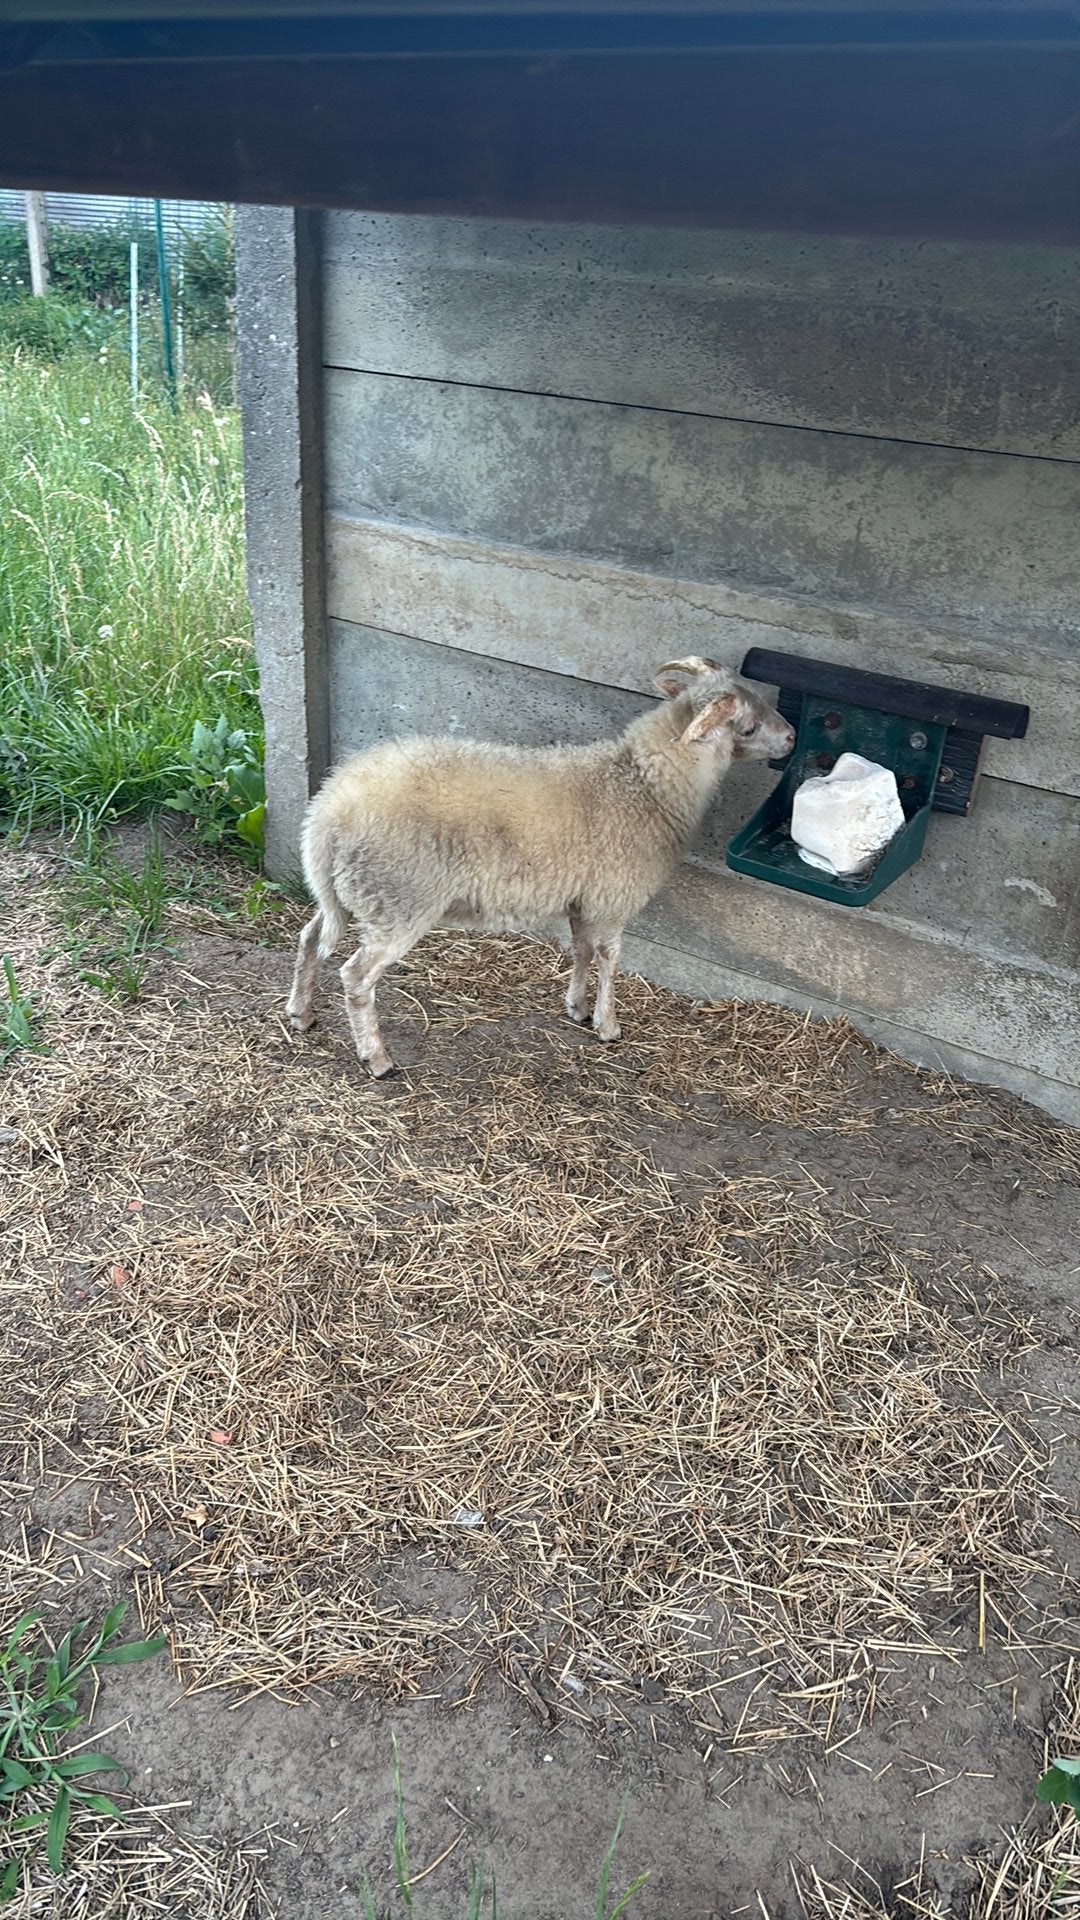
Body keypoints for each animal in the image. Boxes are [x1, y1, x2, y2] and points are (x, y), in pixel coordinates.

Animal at [286, 657, 795, 1076]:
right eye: (748, 727)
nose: (791, 737)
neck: (643, 784)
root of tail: (328, 812)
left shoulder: (582, 897)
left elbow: (581, 951)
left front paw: (578, 1007)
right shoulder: (613, 897)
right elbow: (610, 957)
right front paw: (608, 1024)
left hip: (349, 894)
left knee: (310, 938)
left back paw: (301, 1012)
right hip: (398, 900)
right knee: (356, 977)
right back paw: (376, 1058)